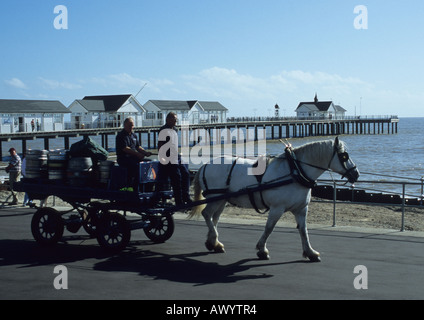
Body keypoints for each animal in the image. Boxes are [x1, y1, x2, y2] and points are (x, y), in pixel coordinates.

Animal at [190, 136, 360, 262]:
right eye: (344, 156)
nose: (356, 174)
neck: (295, 172)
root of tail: (205, 165)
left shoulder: (301, 209)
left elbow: (303, 231)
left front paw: (310, 252)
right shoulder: (277, 208)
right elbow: (269, 228)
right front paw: (262, 250)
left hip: (221, 200)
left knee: (214, 218)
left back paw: (214, 243)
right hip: (215, 198)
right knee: (207, 214)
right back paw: (213, 240)